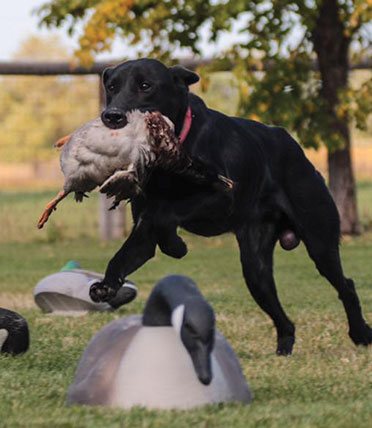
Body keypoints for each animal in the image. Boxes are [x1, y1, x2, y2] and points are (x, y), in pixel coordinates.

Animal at [88, 58, 370, 356]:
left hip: (320, 242)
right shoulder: (143, 233)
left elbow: (164, 213)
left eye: (145, 85)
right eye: (111, 87)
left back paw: (361, 333)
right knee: (281, 313)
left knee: (346, 285)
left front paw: (176, 246)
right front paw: (107, 286)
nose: (112, 116)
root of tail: (295, 149)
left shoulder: (222, 198)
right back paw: (283, 349)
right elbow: (123, 255)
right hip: (255, 269)